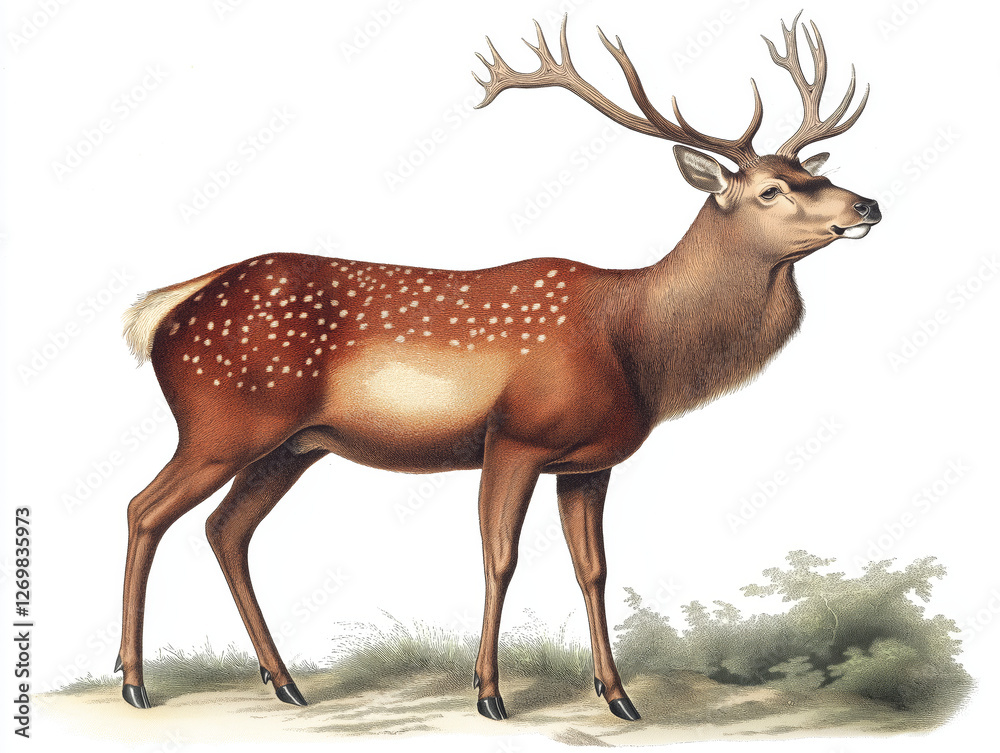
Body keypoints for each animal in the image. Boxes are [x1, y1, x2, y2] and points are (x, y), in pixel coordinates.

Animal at [114, 13, 879, 721]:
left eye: (818, 171)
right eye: (772, 189)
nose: (867, 203)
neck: (634, 342)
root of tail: (165, 310)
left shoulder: (588, 461)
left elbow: (594, 570)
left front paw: (618, 695)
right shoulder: (514, 436)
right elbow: (500, 557)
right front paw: (488, 694)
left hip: (292, 445)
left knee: (225, 529)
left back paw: (284, 681)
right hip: (221, 421)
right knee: (144, 509)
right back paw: (134, 681)